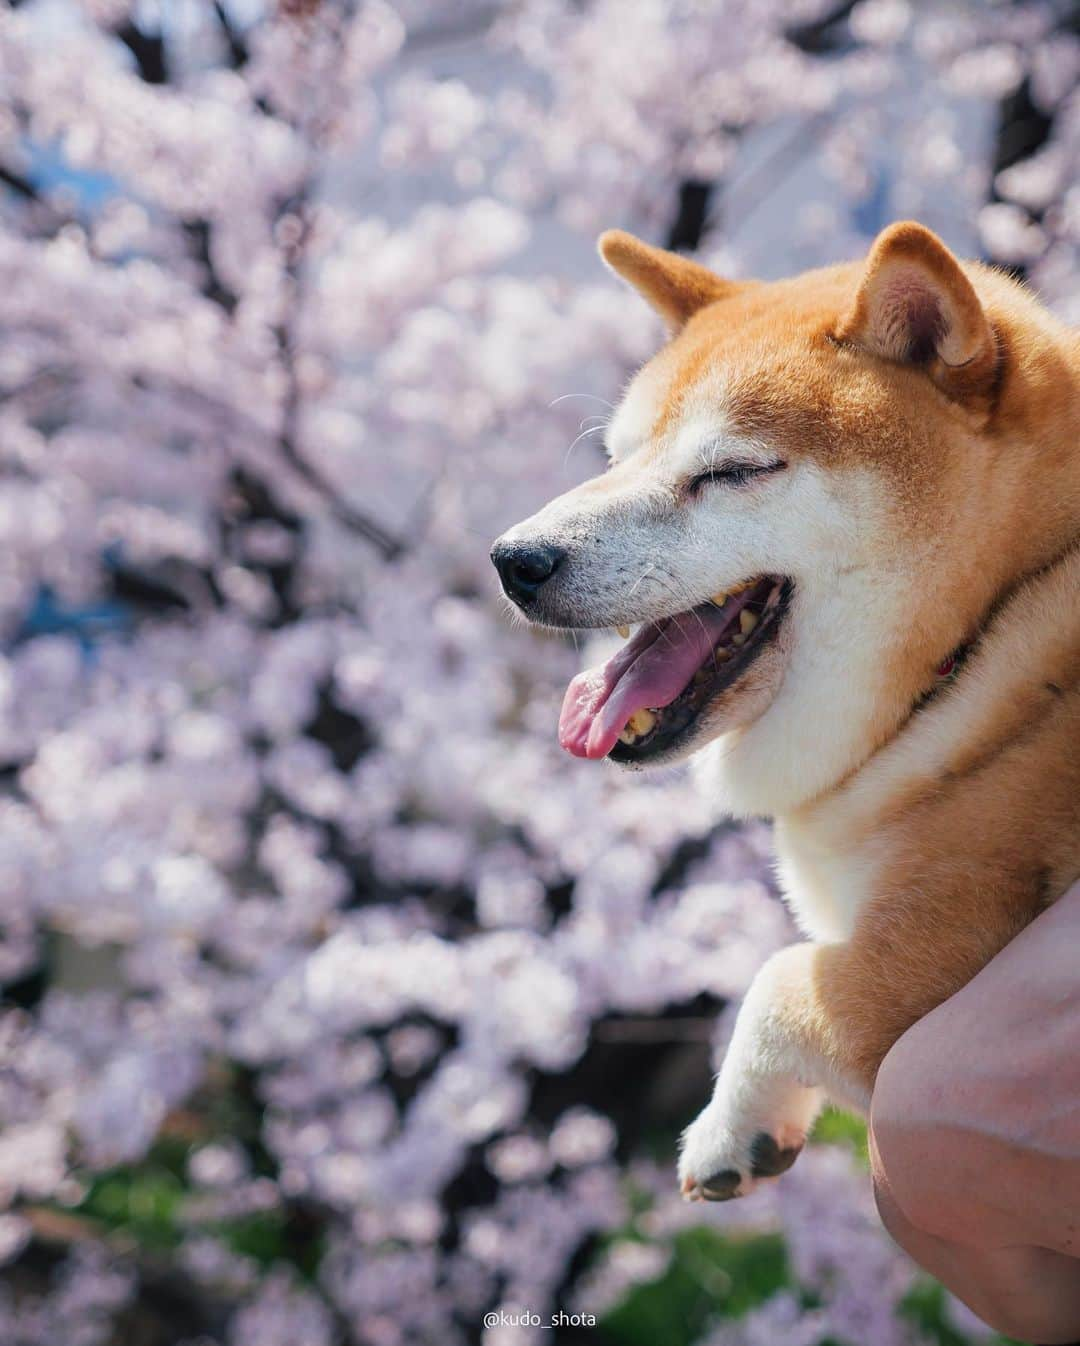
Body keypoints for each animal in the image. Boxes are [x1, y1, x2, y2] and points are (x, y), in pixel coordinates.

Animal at [490, 220, 1077, 1200]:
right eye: (617, 456)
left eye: (733, 470)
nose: (514, 559)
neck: (981, 637)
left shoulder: (949, 953)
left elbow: (777, 978)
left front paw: (730, 1128)